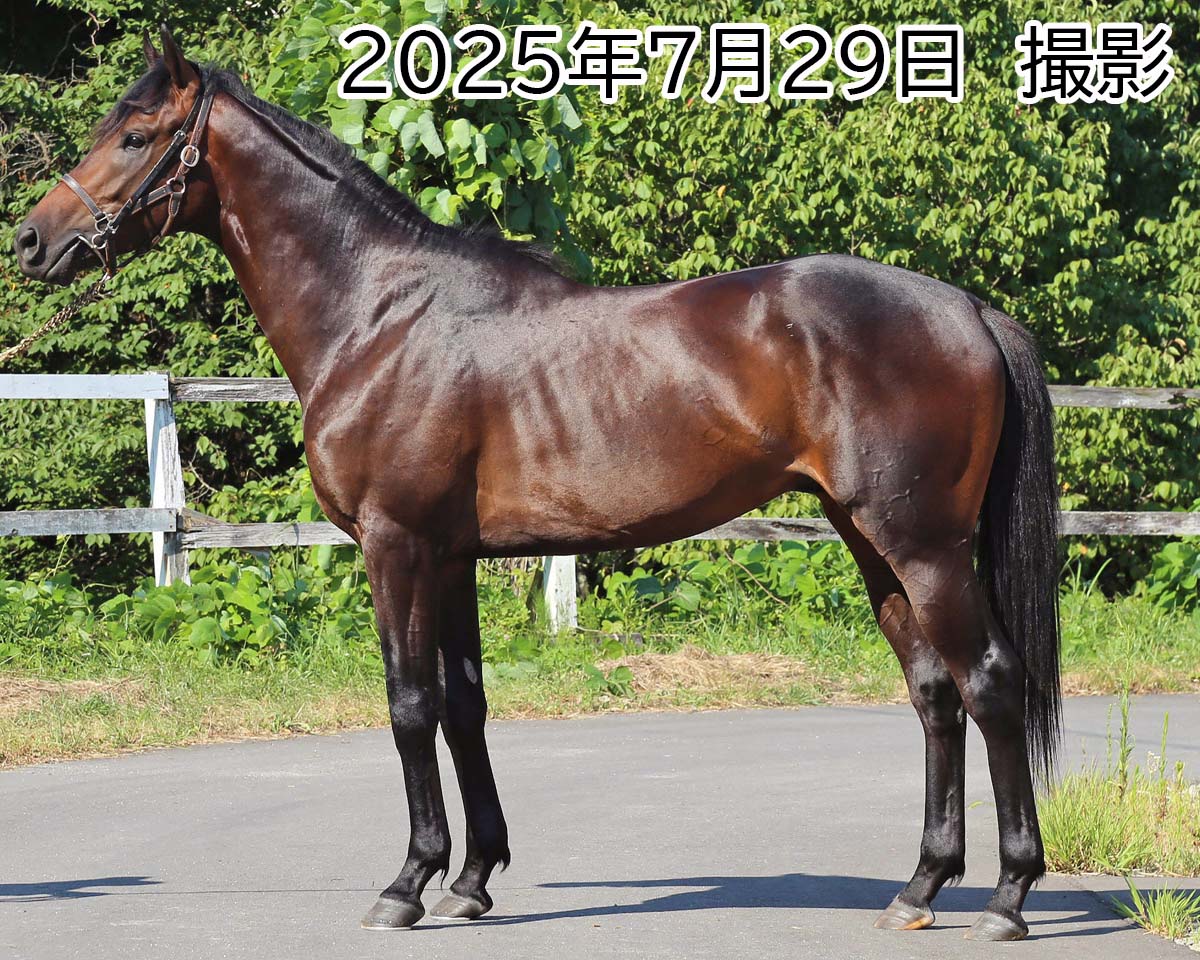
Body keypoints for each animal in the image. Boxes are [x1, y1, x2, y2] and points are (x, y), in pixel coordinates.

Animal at [15, 26, 1061, 941]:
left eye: (135, 137)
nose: (30, 242)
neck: (380, 314)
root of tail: (969, 308)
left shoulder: (397, 546)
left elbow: (409, 706)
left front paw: (406, 883)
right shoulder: (451, 558)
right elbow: (465, 706)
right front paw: (472, 879)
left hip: (922, 547)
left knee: (990, 682)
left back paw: (1009, 896)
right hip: (870, 539)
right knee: (934, 692)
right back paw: (919, 888)